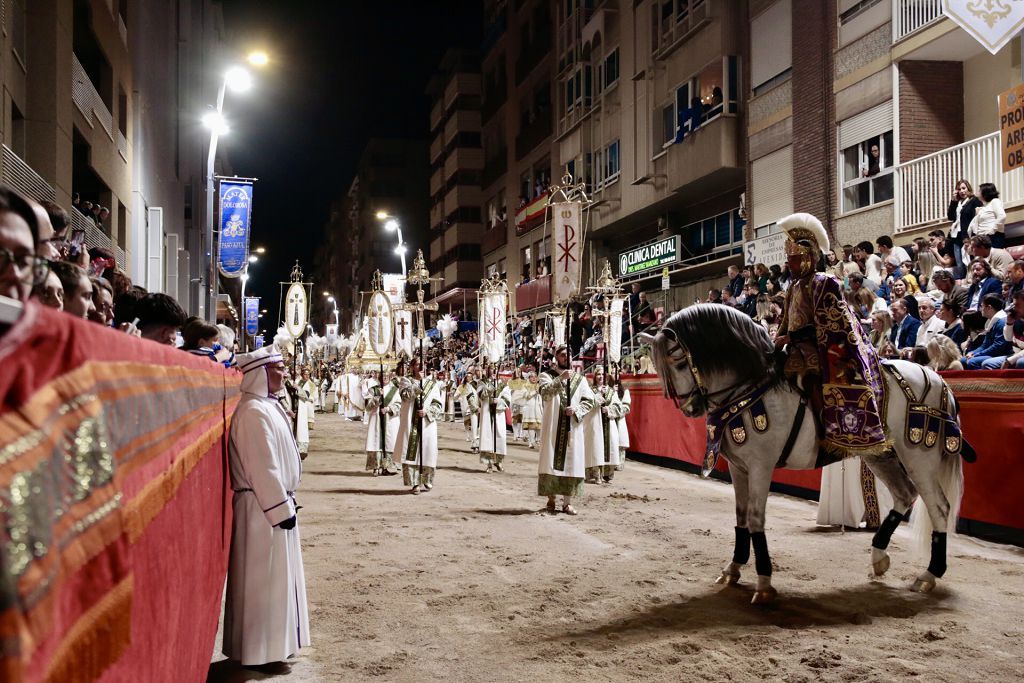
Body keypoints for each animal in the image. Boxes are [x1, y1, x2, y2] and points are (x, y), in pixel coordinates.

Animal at [643, 305, 962, 602]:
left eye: (679, 361)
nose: (690, 408)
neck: (752, 387)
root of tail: (933, 377)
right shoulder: (739, 467)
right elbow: (741, 516)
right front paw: (733, 568)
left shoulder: (761, 466)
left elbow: (756, 518)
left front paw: (764, 582)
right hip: (880, 455)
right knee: (904, 495)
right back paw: (879, 558)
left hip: (918, 458)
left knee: (939, 507)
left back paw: (929, 575)